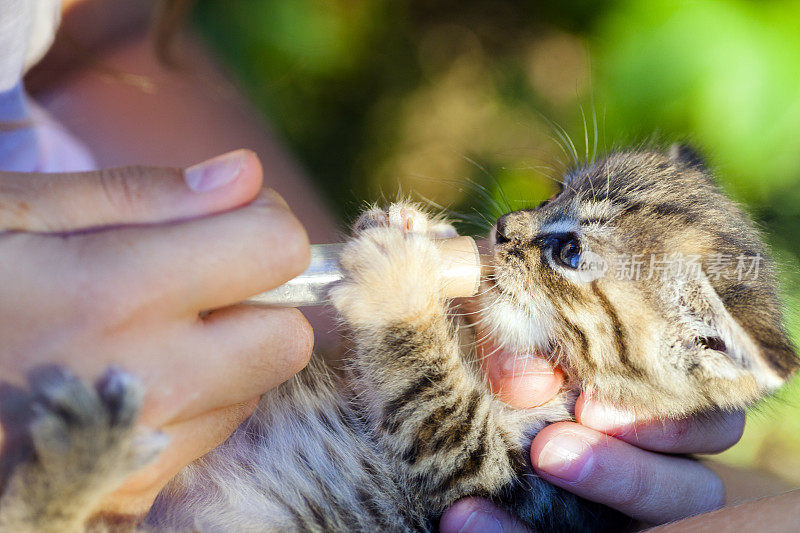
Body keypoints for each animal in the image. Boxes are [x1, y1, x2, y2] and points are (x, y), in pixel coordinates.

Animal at [0, 145, 792, 532]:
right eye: (550, 193)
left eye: (569, 252)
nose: (502, 228)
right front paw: (417, 237)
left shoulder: (504, 479)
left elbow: (432, 397)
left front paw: (404, 285)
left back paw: (83, 451)